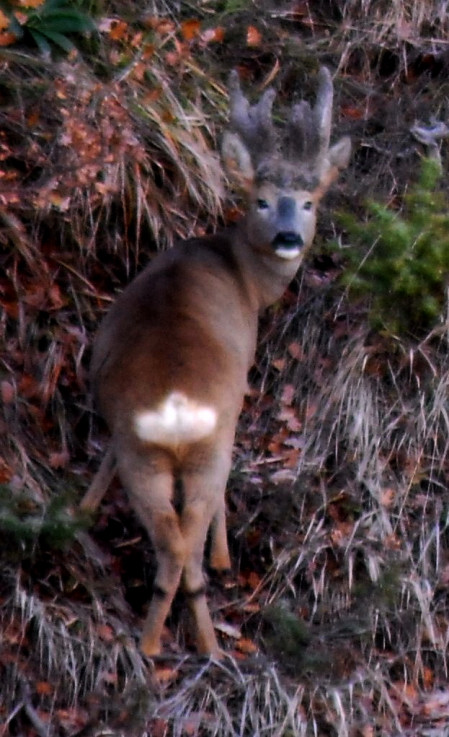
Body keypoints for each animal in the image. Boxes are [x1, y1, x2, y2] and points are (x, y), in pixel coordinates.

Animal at [80, 67, 350, 656]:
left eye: (308, 202)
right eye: (263, 200)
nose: (289, 238)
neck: (241, 274)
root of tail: (176, 407)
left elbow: (104, 454)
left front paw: (85, 505)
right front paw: (225, 556)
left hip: (144, 453)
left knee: (171, 540)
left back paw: (153, 639)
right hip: (209, 446)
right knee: (186, 547)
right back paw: (194, 642)